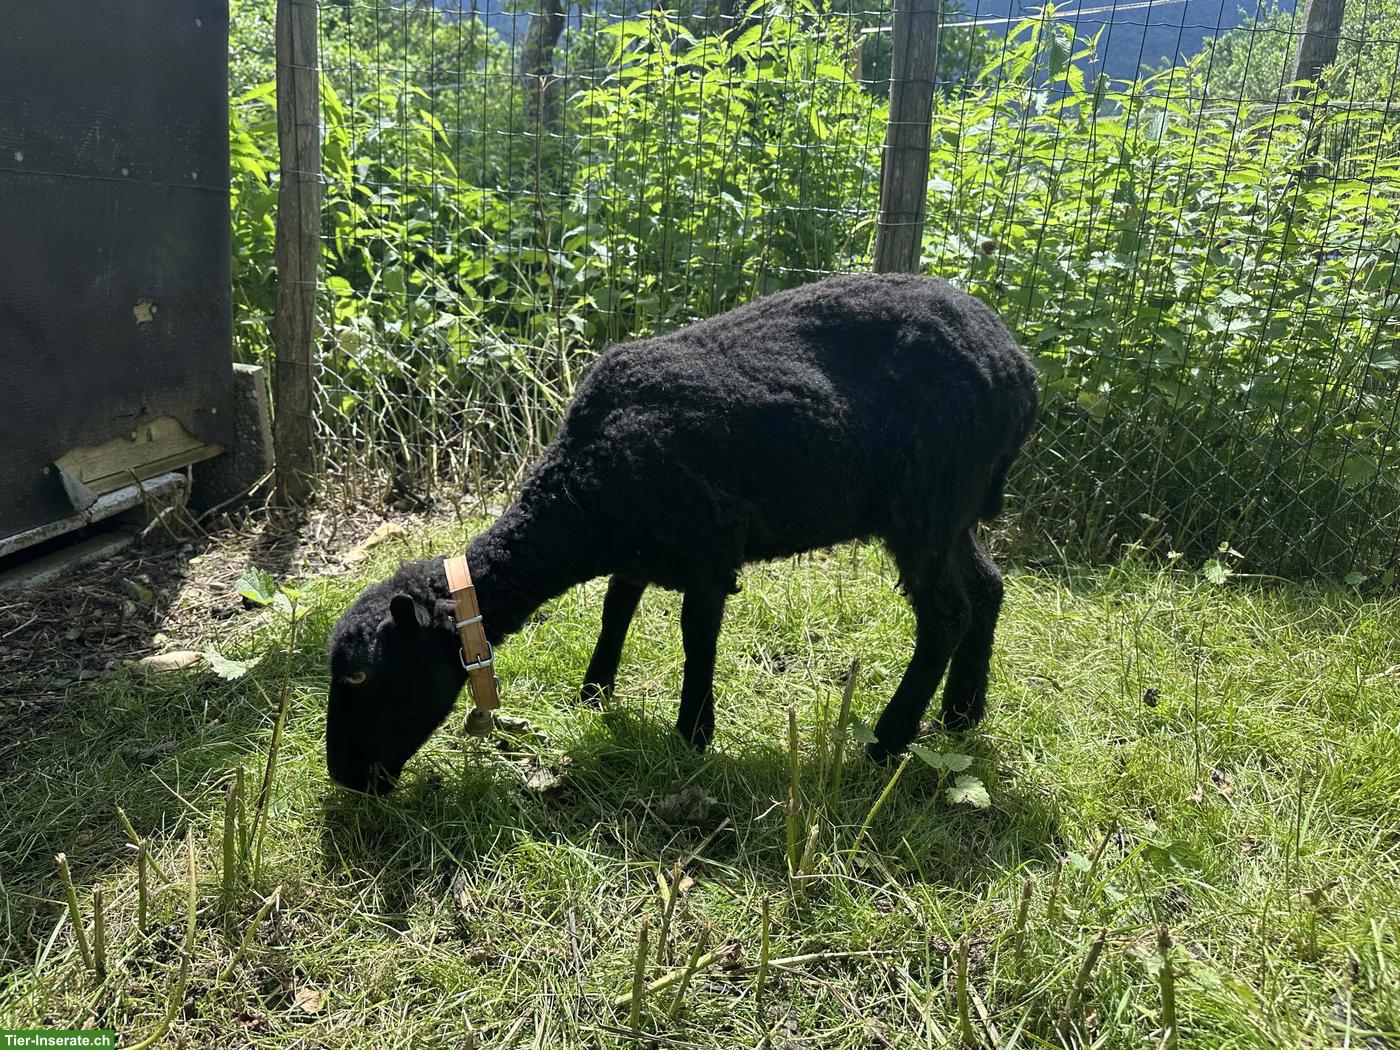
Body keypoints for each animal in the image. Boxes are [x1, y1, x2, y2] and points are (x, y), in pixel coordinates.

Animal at [325, 273, 1038, 794]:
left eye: (359, 677)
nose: (345, 779)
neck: (583, 486)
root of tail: (1019, 367)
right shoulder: (639, 548)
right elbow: (617, 607)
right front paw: (594, 693)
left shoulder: (710, 547)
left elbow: (696, 636)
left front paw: (693, 732)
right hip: (952, 510)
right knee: (987, 589)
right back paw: (961, 714)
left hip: (926, 502)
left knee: (946, 613)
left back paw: (887, 740)